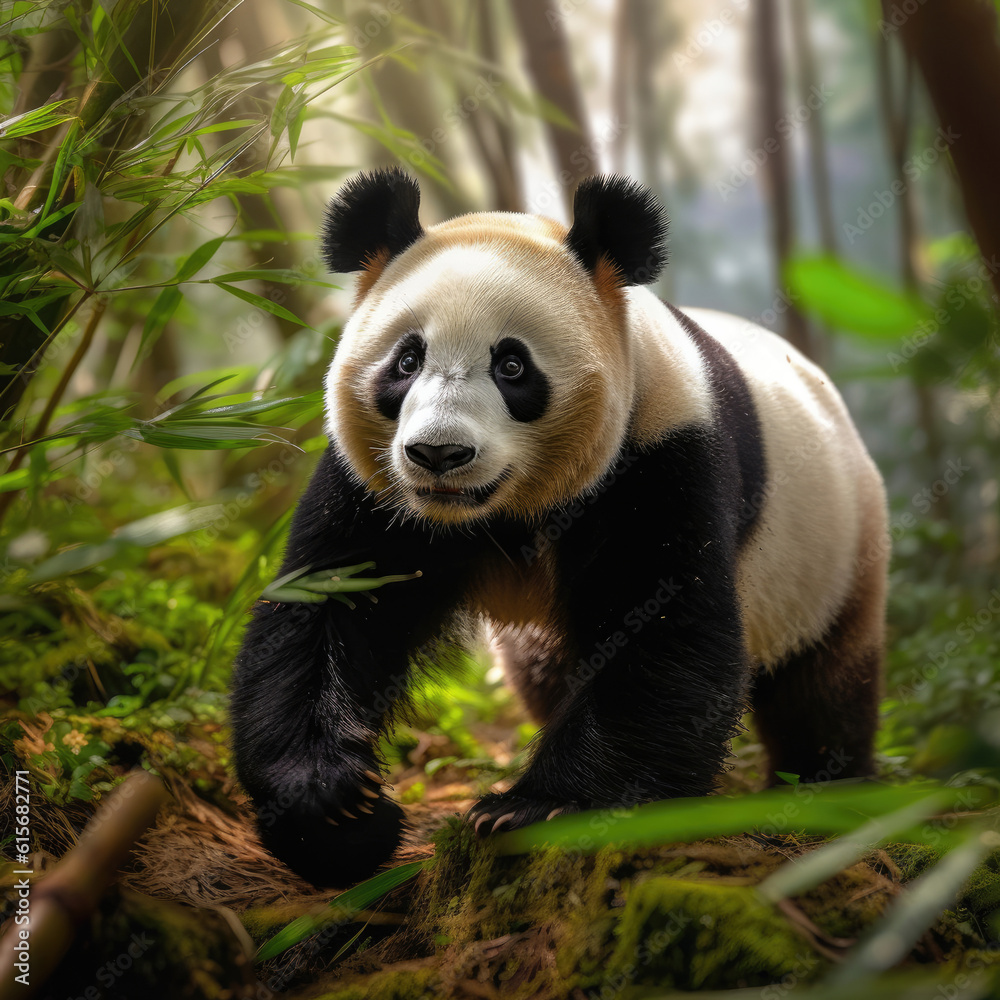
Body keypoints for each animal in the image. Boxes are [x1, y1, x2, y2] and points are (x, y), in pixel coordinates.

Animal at [230, 168, 888, 888]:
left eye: (512, 366)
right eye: (406, 361)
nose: (439, 454)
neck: (496, 511)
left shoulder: (660, 450)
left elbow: (659, 635)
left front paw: (532, 809)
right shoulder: (373, 487)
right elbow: (327, 611)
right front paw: (336, 809)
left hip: (837, 550)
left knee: (822, 687)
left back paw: (825, 791)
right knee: (548, 668)